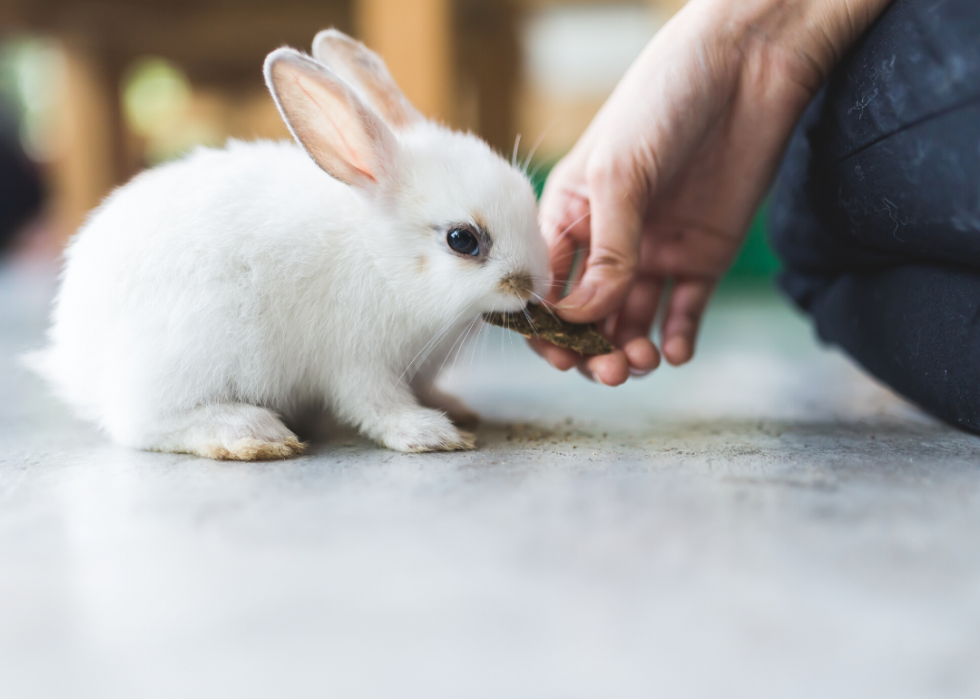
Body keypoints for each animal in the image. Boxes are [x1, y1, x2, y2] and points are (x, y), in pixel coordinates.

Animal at [30, 30, 548, 462]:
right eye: (463, 240)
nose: (531, 285)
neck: (381, 259)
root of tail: (73, 357)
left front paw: (453, 409)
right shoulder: (358, 362)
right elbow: (377, 406)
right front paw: (432, 434)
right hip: (191, 350)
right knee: (140, 424)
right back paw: (251, 433)